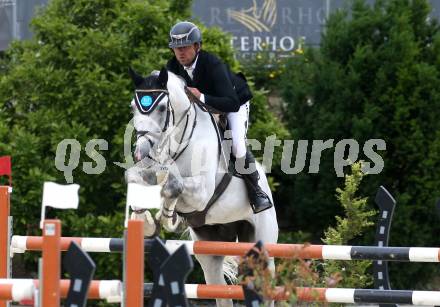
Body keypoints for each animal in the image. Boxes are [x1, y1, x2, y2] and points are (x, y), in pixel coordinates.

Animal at [124, 68, 278, 307]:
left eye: (161, 108)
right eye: (133, 107)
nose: (141, 152)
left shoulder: (201, 193)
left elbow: (173, 186)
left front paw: (167, 217)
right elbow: (135, 178)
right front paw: (147, 222)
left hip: (263, 247)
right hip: (211, 249)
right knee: (221, 290)